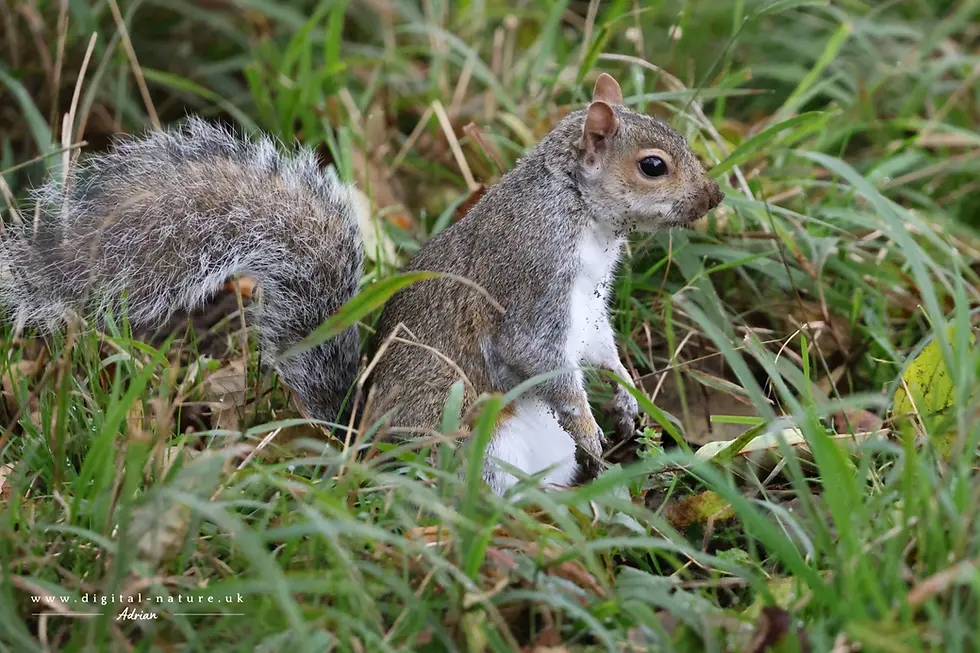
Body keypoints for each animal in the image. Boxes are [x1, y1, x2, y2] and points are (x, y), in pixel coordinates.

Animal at [0, 73, 723, 495]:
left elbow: (601, 351)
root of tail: (357, 446)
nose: (714, 198)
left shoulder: (589, 308)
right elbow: (546, 362)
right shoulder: (529, 284)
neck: (584, 217)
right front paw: (591, 425)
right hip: (469, 438)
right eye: (653, 166)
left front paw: (627, 399)